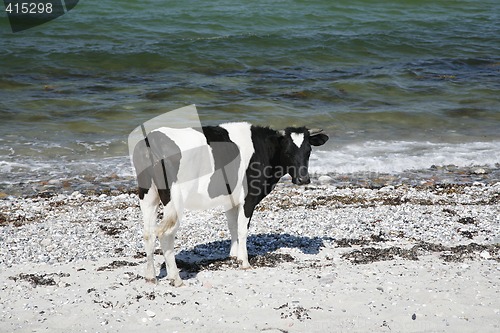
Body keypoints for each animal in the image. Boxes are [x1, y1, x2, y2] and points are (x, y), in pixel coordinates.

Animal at [132, 122, 328, 286]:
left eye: (308, 151)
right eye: (288, 151)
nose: (303, 179)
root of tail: (152, 140)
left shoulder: (230, 198)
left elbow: (232, 225)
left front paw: (234, 255)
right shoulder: (249, 198)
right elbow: (242, 228)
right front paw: (245, 261)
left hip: (147, 195)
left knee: (148, 233)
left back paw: (150, 276)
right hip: (174, 199)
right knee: (165, 233)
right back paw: (175, 278)